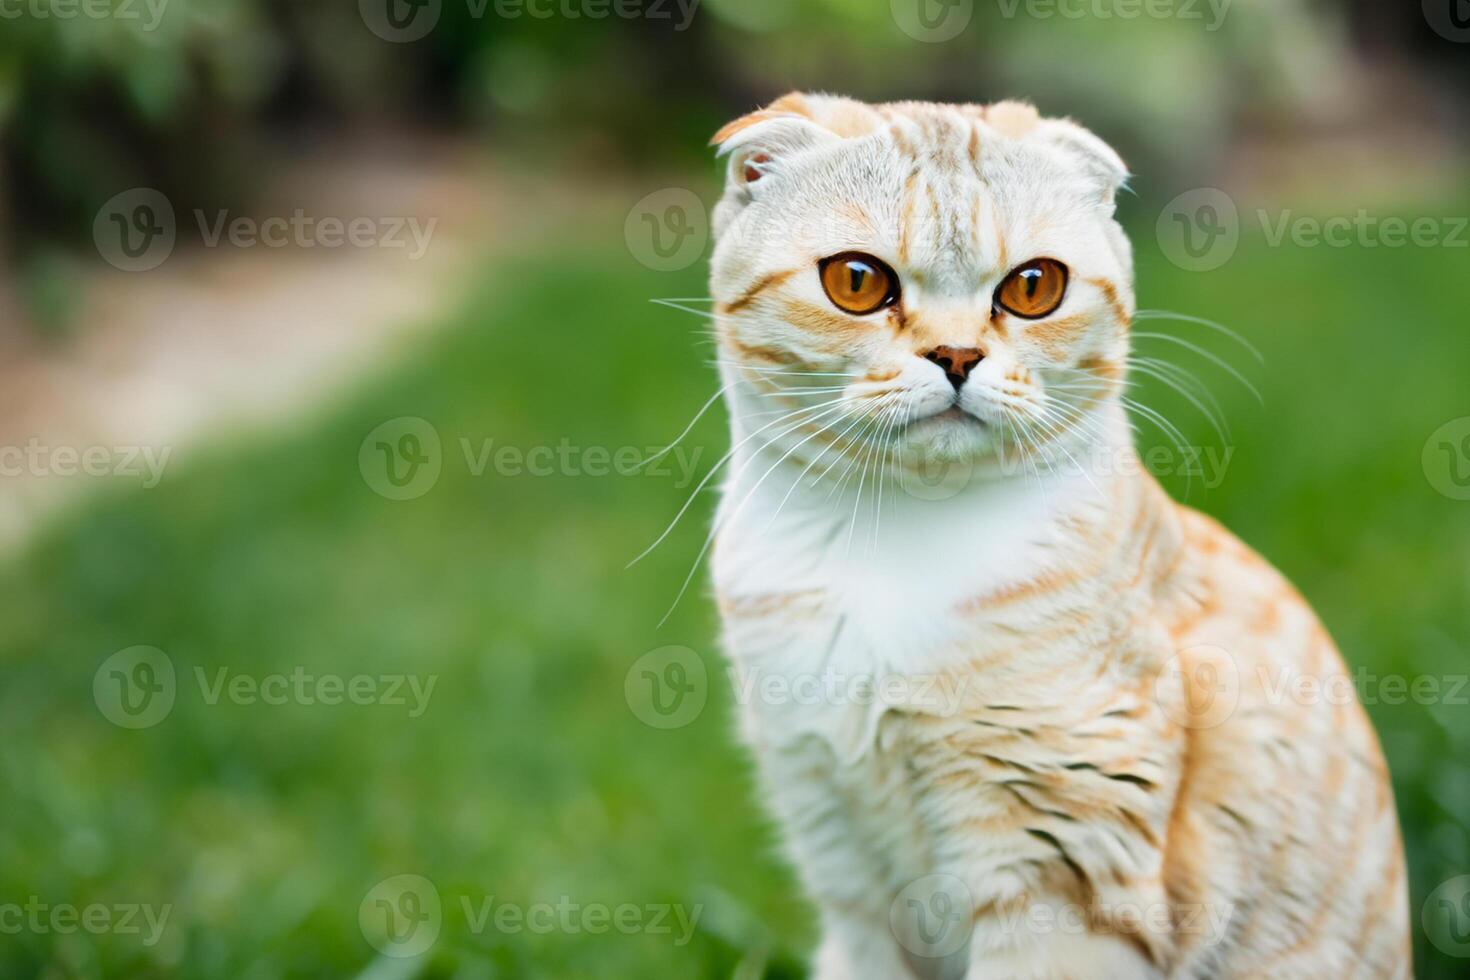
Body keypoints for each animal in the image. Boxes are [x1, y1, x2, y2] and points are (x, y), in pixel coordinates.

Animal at [699, 95, 1411, 980]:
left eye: (1033, 288)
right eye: (856, 282)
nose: (956, 354)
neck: (894, 541)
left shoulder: (1063, 867)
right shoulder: (839, 851)